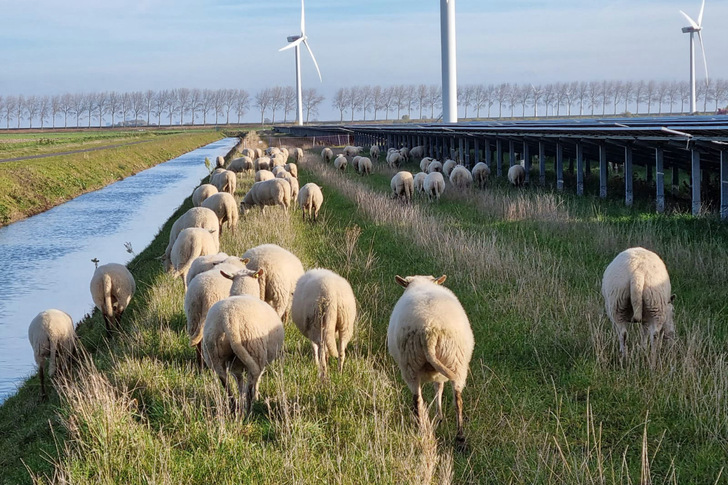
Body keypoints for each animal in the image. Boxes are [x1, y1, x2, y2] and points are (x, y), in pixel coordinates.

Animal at [386, 274, 478, 448]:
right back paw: (460, 438)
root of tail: (429, 329)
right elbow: (439, 388)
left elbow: (438, 388)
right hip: (456, 361)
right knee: (457, 400)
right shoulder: (440, 372)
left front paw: (438, 416)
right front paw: (439, 416)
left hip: (410, 365)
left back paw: (420, 428)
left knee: (417, 400)